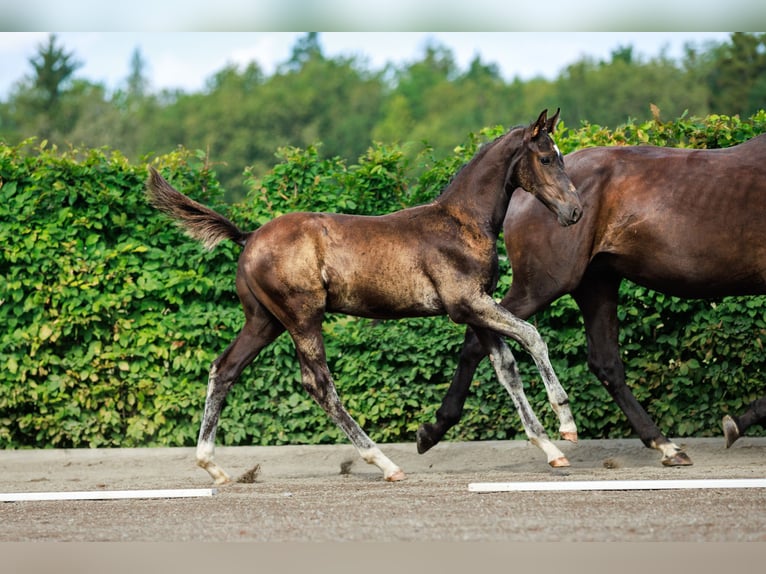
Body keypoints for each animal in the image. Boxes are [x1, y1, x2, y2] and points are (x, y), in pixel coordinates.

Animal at [147, 109, 584, 486]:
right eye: (547, 158)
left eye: (561, 157)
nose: (575, 211)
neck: (462, 222)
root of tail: (248, 237)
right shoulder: (467, 305)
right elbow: (531, 335)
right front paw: (566, 423)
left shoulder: (477, 308)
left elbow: (505, 368)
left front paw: (549, 449)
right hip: (302, 316)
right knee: (318, 383)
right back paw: (385, 462)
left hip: (264, 321)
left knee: (224, 369)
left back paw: (212, 466)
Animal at [416, 134, 766, 468]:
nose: (571, 210)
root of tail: (522, 196)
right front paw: (737, 423)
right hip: (543, 285)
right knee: (480, 341)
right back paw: (435, 429)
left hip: (596, 283)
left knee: (605, 363)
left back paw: (664, 445)